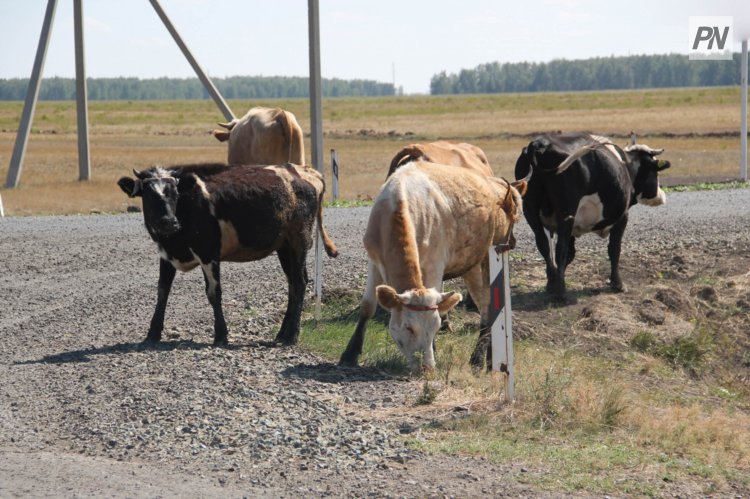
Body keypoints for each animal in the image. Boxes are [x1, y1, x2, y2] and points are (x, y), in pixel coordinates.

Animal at [117, 163, 338, 348]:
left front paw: (221, 335)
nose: (169, 222)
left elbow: (214, 293)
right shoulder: (166, 256)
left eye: (174, 193)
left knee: (299, 282)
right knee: (293, 283)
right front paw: (152, 334)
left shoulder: (209, 254)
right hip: (283, 246)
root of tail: (303, 170)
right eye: (148, 195)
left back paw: (292, 335)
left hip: (299, 240)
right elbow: (162, 292)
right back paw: (282, 333)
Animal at [340, 160, 528, 372]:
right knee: (483, 304)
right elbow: (367, 307)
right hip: (471, 266)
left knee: (489, 306)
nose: (427, 367)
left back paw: (478, 358)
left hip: (493, 256)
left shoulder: (434, 266)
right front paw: (350, 354)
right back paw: (488, 358)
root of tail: (499, 185)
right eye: (408, 327)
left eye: (436, 326)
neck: (397, 204)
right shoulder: (374, 260)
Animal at [516, 131, 672, 298]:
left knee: (543, 245)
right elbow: (614, 249)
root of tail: (540, 144)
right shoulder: (622, 217)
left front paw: (552, 282)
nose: (662, 196)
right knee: (560, 249)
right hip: (566, 213)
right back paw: (561, 294)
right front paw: (618, 284)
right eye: (655, 173)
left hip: (530, 210)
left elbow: (570, 254)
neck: (626, 165)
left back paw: (553, 283)